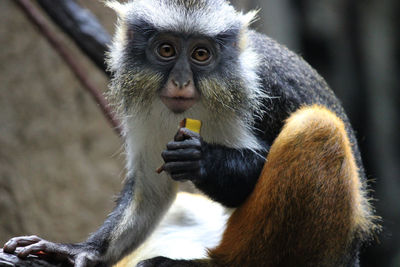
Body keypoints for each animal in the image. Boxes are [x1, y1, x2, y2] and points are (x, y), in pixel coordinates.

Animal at [3, 0, 378, 267]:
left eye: (201, 53)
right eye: (166, 49)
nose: (181, 81)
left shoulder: (260, 93)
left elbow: (251, 177)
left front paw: (202, 160)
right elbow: (151, 189)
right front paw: (79, 251)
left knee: (317, 126)